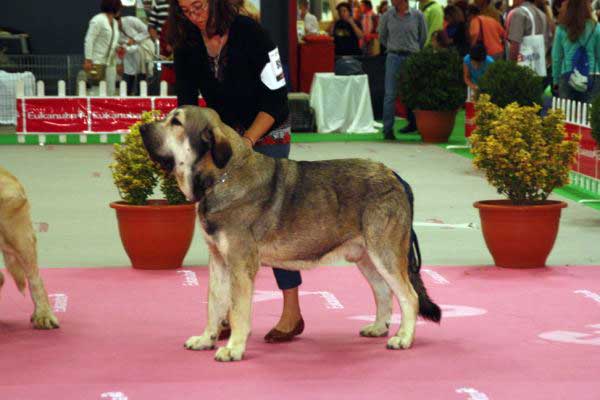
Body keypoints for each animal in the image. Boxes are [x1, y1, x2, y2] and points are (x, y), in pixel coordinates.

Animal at [139, 106, 440, 362]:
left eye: (176, 122)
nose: (141, 128)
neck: (222, 176)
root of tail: (395, 176)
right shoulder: (220, 261)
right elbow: (214, 303)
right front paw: (206, 339)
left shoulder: (240, 264)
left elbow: (237, 310)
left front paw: (233, 348)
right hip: (365, 256)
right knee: (383, 291)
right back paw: (378, 327)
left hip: (384, 251)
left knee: (409, 296)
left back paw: (403, 338)